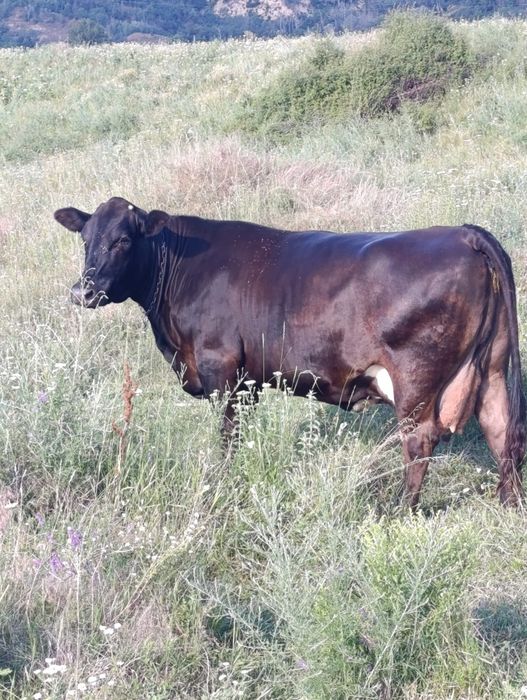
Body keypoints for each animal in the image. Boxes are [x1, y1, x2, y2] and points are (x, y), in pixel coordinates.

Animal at [54, 196, 526, 508]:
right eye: (86, 240)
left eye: (122, 241)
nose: (83, 291)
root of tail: (463, 232)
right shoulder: (248, 381)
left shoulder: (220, 368)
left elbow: (227, 435)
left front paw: (222, 481)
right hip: (494, 369)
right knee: (501, 429)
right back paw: (508, 502)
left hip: (415, 377)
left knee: (420, 440)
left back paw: (398, 509)